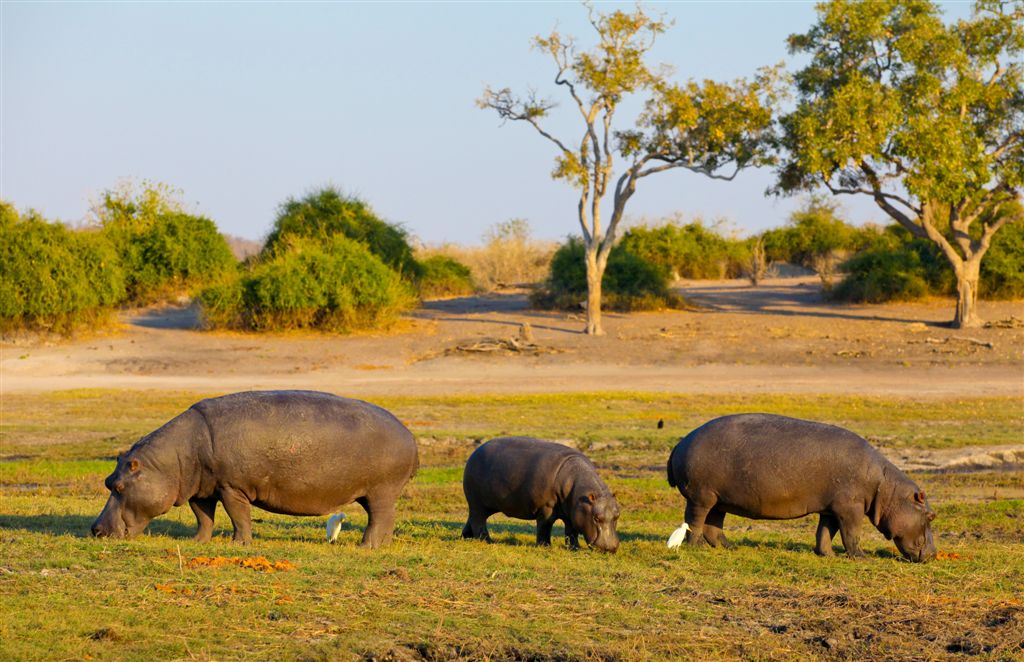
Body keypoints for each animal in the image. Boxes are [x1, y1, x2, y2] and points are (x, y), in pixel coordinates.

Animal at [92, 389, 417, 549]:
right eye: (108, 481)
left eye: (119, 486)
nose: (95, 529)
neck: (172, 460)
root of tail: (409, 434)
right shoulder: (202, 489)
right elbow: (203, 517)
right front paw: (197, 542)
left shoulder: (231, 487)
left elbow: (239, 517)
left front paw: (239, 544)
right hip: (376, 494)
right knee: (384, 520)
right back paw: (380, 545)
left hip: (381, 491)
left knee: (380, 518)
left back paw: (366, 547)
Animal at [462, 438, 618, 553]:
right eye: (596, 518)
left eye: (617, 516)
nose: (610, 548)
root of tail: (475, 452)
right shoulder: (546, 508)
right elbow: (545, 526)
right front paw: (545, 546)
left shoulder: (573, 512)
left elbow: (571, 531)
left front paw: (575, 548)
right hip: (477, 502)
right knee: (478, 521)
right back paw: (486, 540)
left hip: (484, 505)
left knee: (472, 518)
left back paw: (465, 537)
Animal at [663, 418, 937, 561]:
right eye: (930, 515)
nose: (934, 554)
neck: (886, 488)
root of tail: (680, 442)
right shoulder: (850, 508)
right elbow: (851, 533)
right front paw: (860, 557)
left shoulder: (831, 508)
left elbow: (825, 533)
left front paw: (827, 555)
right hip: (701, 497)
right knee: (695, 521)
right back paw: (696, 547)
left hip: (720, 499)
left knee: (714, 525)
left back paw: (729, 547)